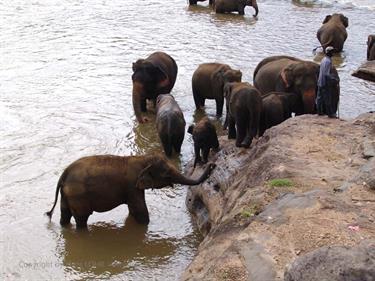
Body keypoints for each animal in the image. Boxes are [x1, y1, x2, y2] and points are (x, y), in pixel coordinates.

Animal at [45, 152, 216, 226]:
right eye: (167, 174)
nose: (212, 165)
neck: (143, 159)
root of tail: (64, 175)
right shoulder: (132, 186)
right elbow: (140, 209)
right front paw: (145, 225)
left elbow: (133, 210)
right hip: (78, 195)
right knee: (81, 218)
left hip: (67, 195)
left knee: (65, 215)